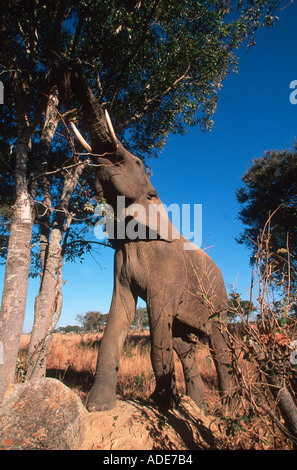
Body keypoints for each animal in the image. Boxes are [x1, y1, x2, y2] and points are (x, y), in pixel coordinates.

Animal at [69, 70, 231, 412]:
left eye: (138, 162)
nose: (69, 69)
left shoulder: (167, 272)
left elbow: (158, 329)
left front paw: (160, 405)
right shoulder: (121, 263)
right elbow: (119, 316)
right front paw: (98, 407)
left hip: (218, 299)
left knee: (218, 344)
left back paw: (227, 405)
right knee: (183, 345)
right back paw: (197, 405)